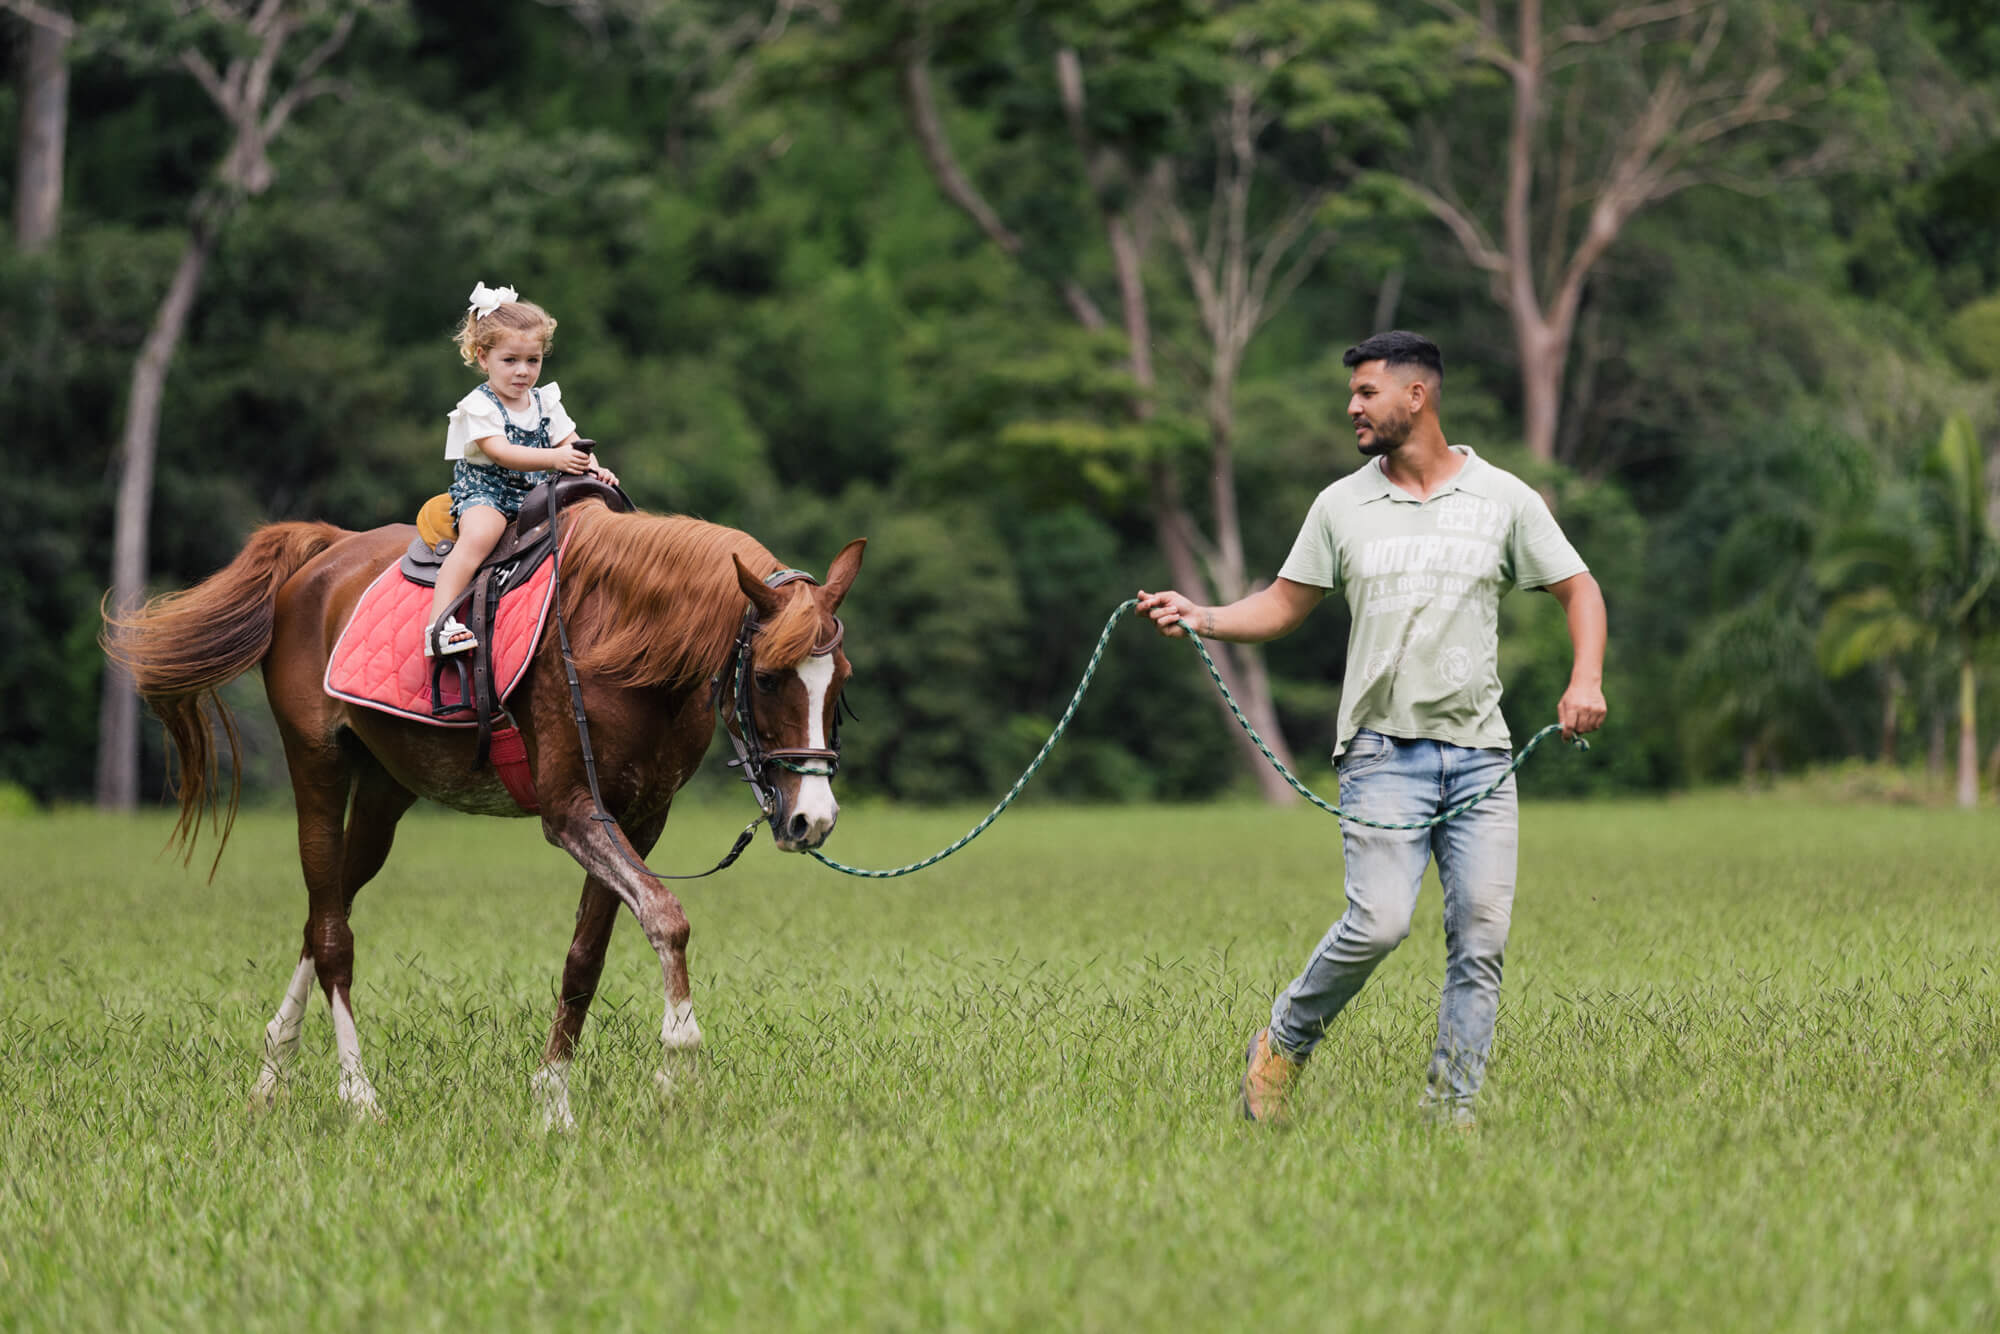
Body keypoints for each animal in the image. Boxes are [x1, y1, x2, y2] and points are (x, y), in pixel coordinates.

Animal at [109, 504, 860, 1128]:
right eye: (767, 677)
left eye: (841, 681)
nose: (813, 820)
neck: (623, 644)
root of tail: (329, 551)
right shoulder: (572, 812)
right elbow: (666, 917)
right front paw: (677, 1062)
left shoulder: (640, 818)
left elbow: (586, 957)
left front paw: (553, 1101)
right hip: (315, 764)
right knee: (331, 935)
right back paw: (358, 1095)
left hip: (385, 791)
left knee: (323, 916)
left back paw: (271, 1076)